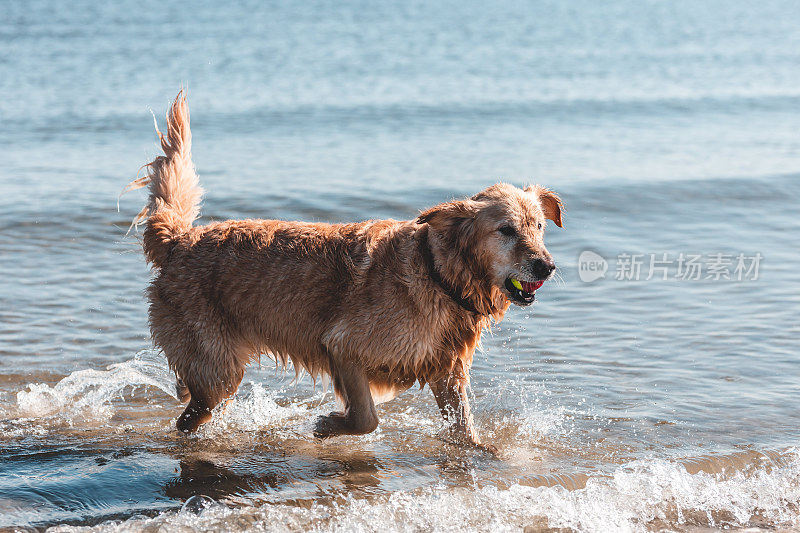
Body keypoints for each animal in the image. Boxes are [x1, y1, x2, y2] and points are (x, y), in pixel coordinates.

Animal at [126, 92, 564, 448]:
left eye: (539, 227)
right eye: (506, 230)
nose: (547, 266)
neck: (439, 275)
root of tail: (179, 240)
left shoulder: (447, 370)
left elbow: (465, 430)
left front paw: (484, 452)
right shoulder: (343, 345)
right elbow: (367, 419)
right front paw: (326, 425)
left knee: (187, 391)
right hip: (219, 367)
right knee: (189, 417)